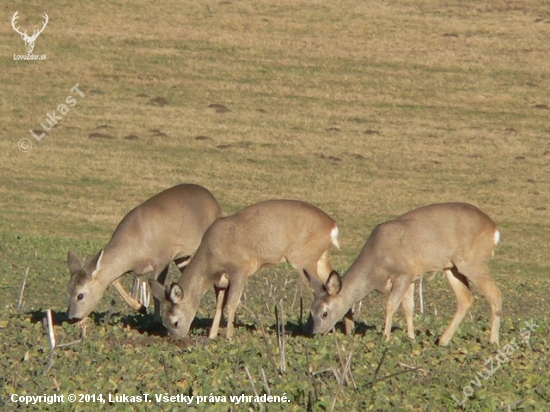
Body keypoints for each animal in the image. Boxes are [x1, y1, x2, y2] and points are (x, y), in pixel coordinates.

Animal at [68, 183, 223, 322]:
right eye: (67, 291)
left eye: (80, 295)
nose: (71, 318)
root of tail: (214, 201)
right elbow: (115, 280)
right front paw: (141, 307)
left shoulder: (163, 258)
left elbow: (156, 290)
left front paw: (156, 321)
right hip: (183, 257)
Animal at [151, 198, 340, 340]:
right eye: (163, 323)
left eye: (175, 322)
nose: (176, 339)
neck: (212, 259)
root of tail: (333, 226)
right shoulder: (221, 281)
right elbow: (219, 305)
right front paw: (212, 335)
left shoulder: (240, 269)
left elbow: (231, 304)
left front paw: (228, 336)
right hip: (320, 258)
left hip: (303, 258)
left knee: (320, 290)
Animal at [308, 202, 502, 344]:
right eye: (311, 310)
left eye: (325, 313)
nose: (315, 333)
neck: (375, 267)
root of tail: (494, 229)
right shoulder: (411, 276)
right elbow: (409, 307)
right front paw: (411, 337)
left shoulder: (402, 274)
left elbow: (391, 305)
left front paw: (385, 338)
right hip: (452, 267)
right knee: (466, 298)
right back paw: (443, 341)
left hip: (473, 261)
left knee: (495, 293)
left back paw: (493, 342)